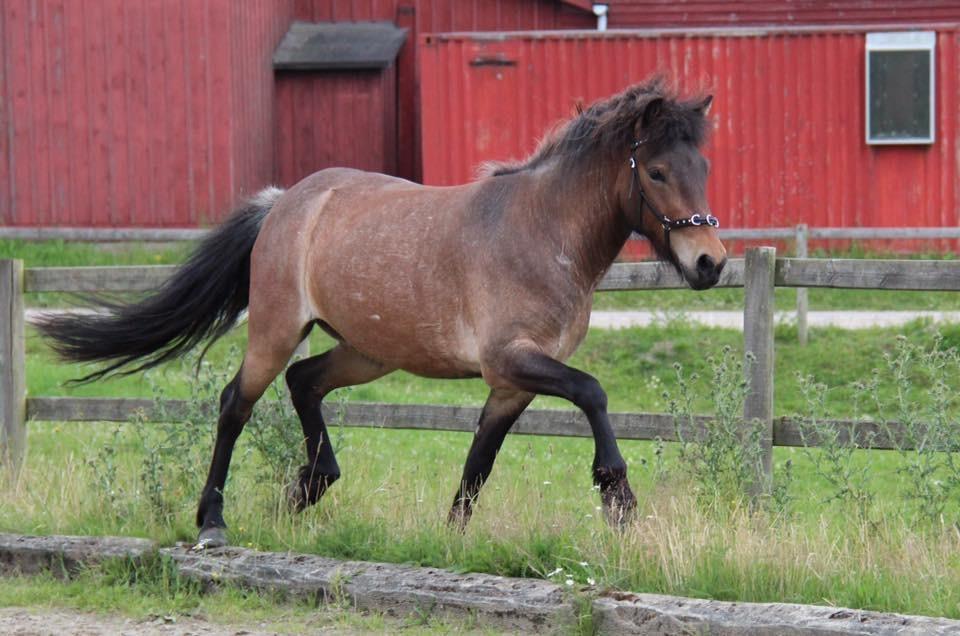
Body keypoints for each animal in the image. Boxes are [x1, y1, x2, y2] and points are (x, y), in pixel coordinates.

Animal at [39, 78, 728, 548]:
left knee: (305, 383)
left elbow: (480, 461)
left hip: (368, 352)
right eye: (657, 171)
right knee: (236, 403)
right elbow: (593, 393)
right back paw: (213, 521)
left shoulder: (512, 384)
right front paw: (617, 496)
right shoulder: (512, 360)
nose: (710, 263)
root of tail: (286, 202)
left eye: (703, 166)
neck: (541, 232)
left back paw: (309, 487)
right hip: (275, 331)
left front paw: (452, 541)